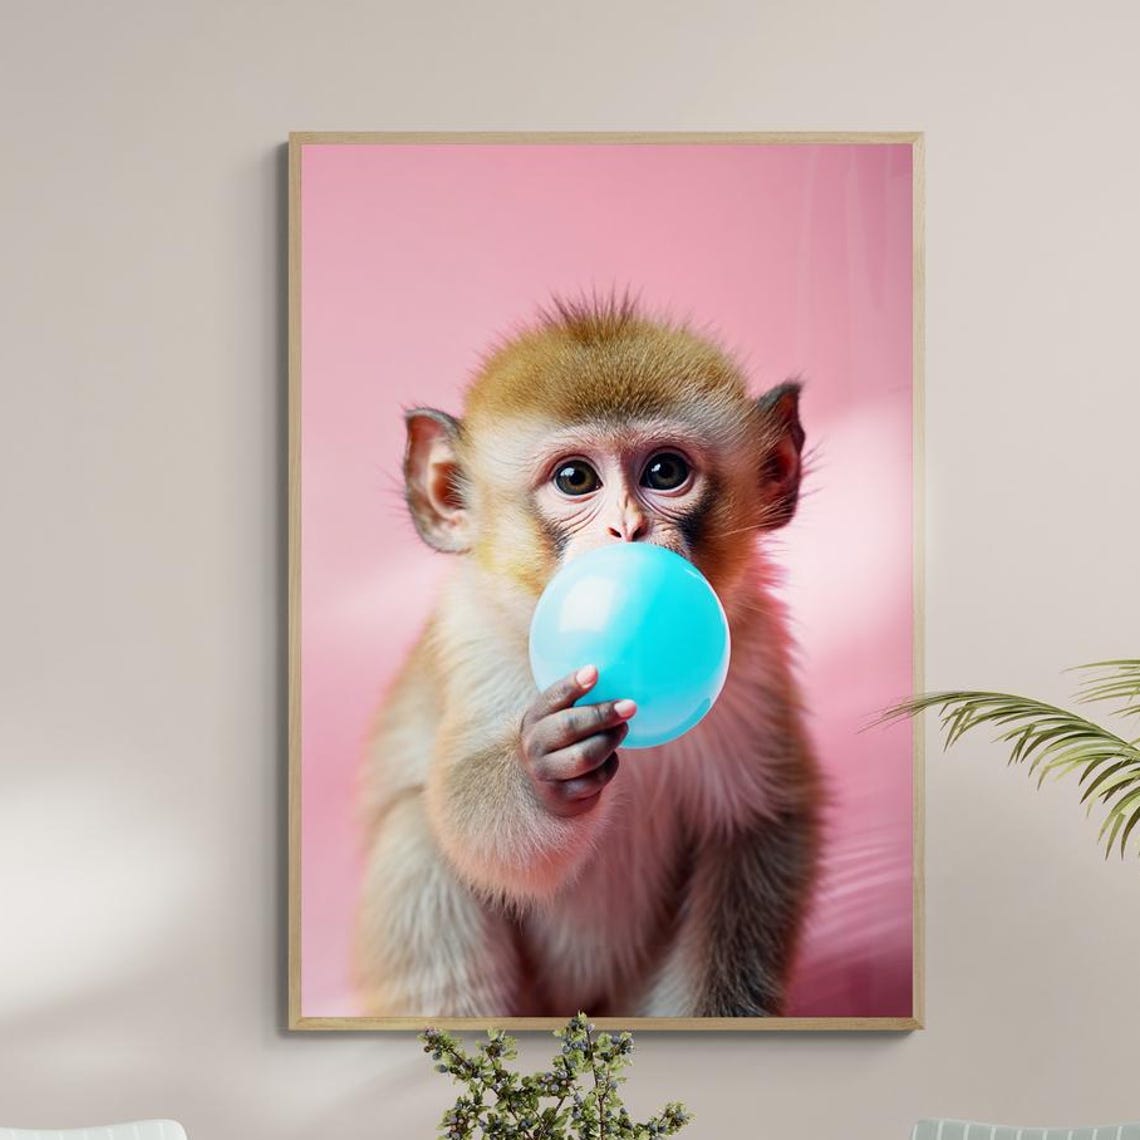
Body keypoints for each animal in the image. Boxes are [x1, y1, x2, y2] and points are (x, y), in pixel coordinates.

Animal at [355, 294, 822, 1018]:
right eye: (575, 479)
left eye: (665, 472)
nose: (626, 528)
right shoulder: (474, 641)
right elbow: (464, 818)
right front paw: (543, 774)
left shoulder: (752, 655)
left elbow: (756, 825)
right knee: (415, 839)